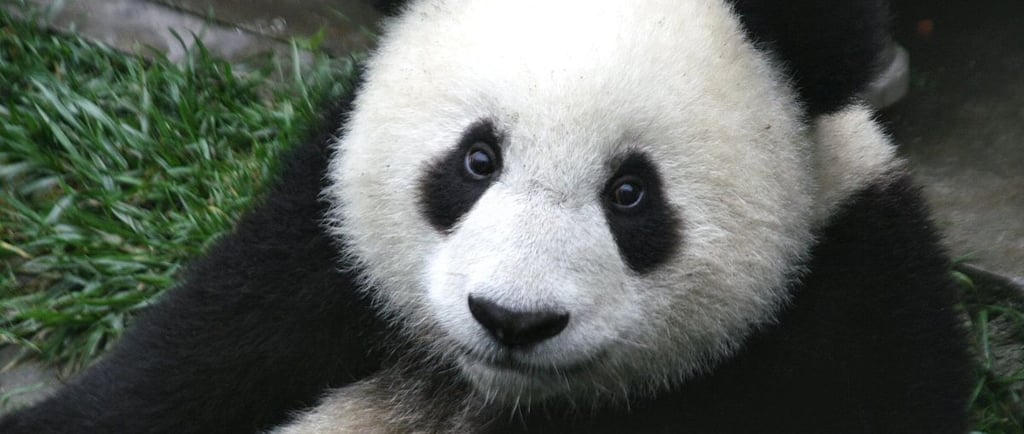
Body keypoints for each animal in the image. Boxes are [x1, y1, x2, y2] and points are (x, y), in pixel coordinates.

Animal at [0, 0, 971, 433]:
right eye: (477, 161)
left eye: (631, 194)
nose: (513, 319)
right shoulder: (316, 255)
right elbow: (175, 372)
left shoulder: (851, 315)